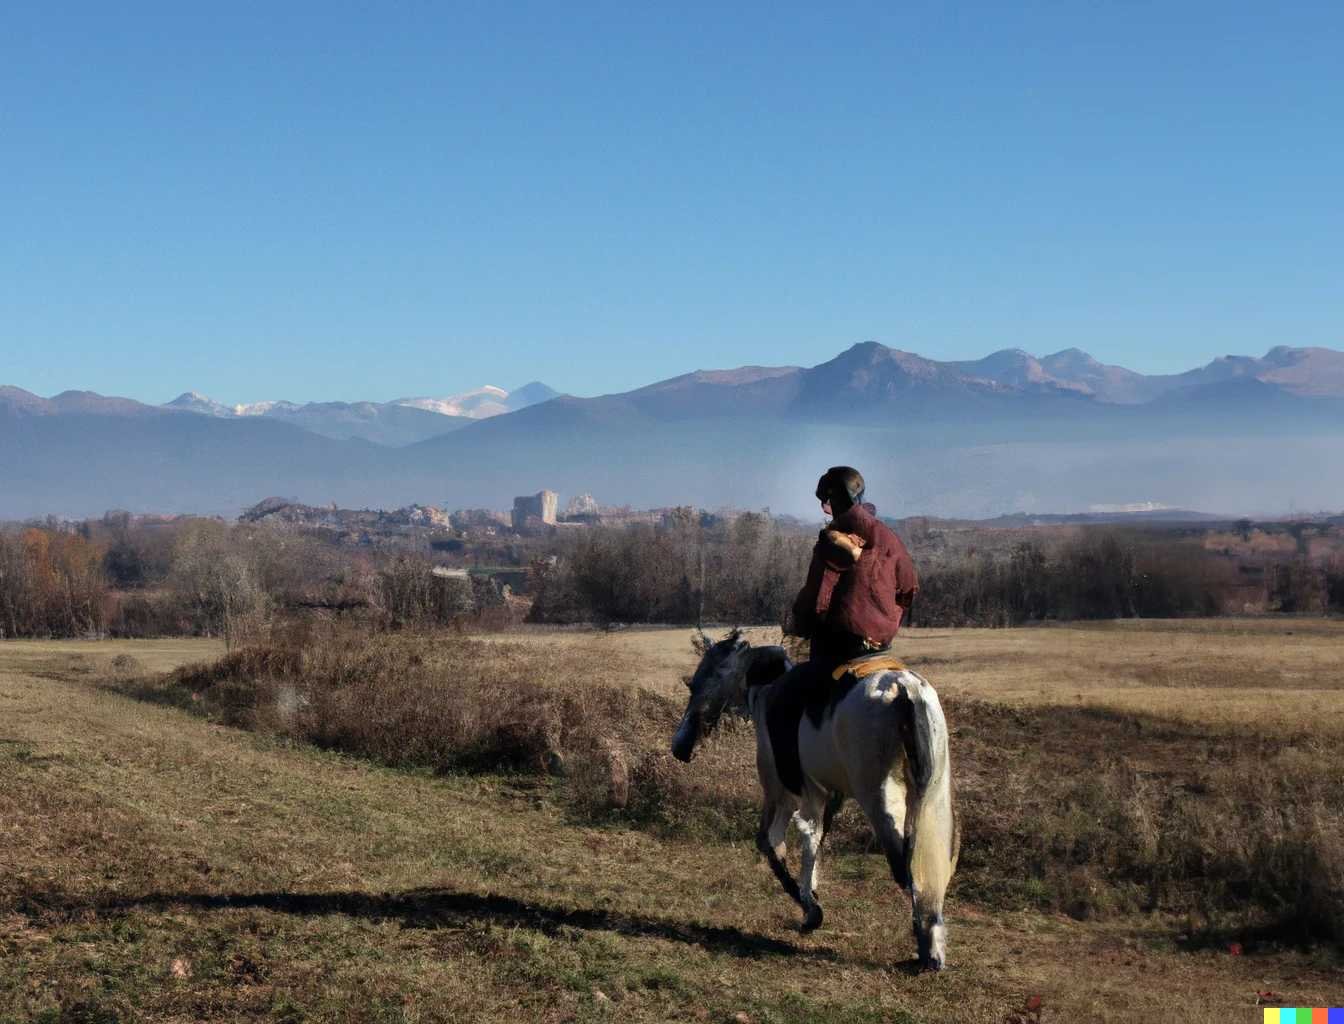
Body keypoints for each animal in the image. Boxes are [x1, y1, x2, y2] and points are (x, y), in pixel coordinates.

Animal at [669, 626, 956, 967]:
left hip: (880, 799)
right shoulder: (827, 794)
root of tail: (902, 689)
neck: (764, 692)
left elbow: (772, 842)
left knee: (904, 863)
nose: (681, 746)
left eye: (697, 683)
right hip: (930, 798)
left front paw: (810, 908)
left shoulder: (782, 794)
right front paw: (813, 900)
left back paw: (927, 948)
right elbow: (815, 842)